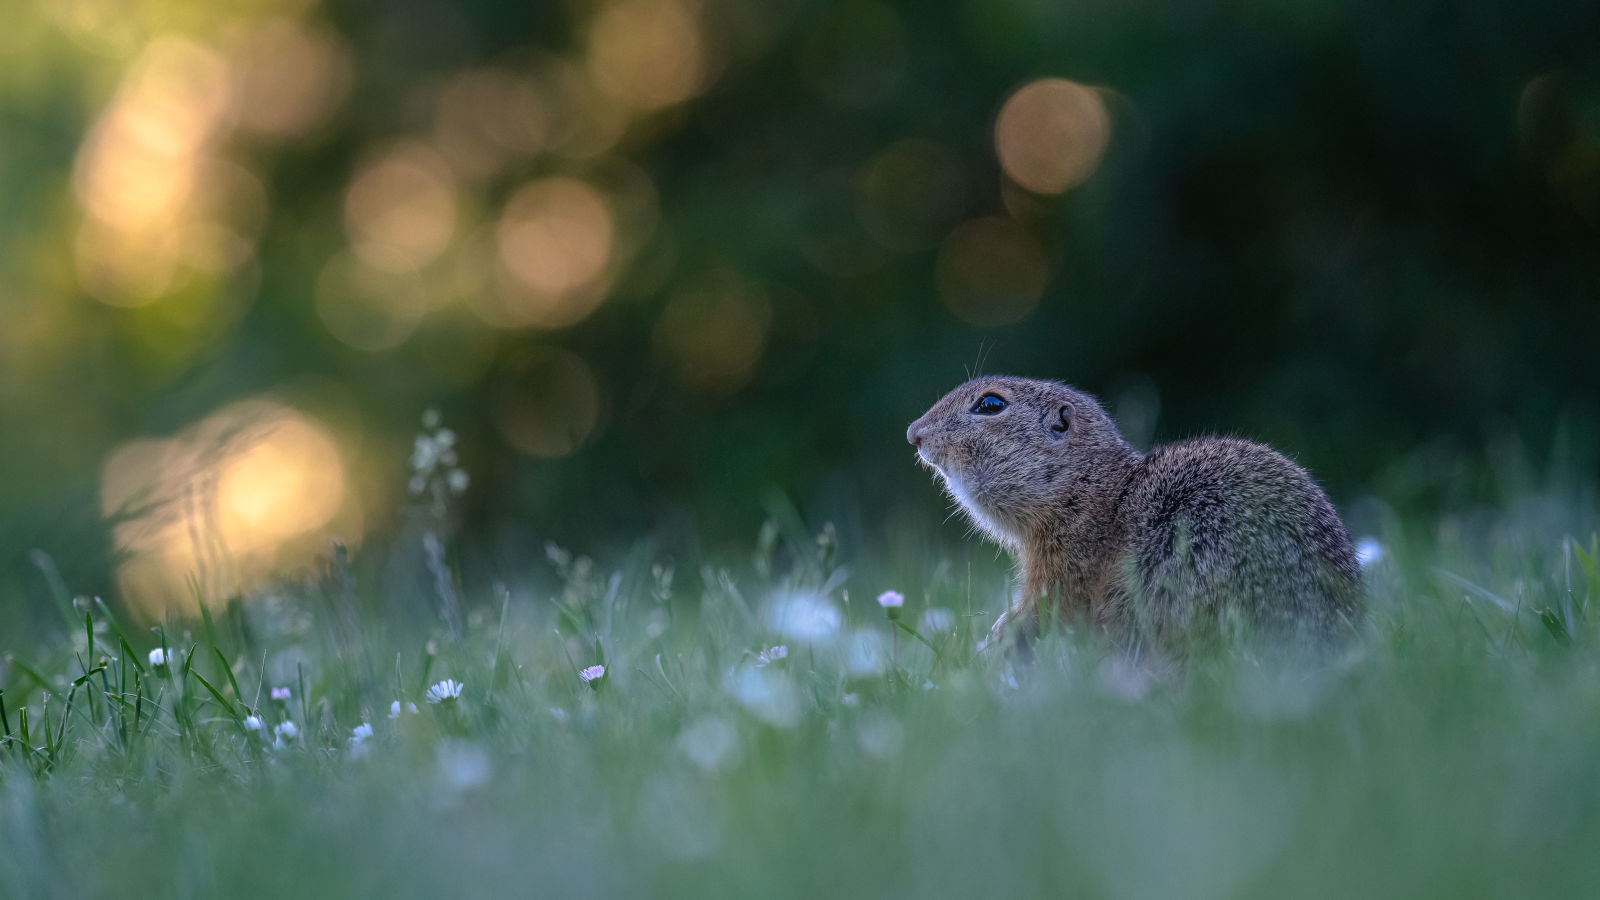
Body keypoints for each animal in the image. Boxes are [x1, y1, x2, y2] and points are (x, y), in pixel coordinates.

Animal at [915, 371, 1363, 650]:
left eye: (990, 404)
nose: (912, 433)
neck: (1092, 489)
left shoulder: (1065, 565)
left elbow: (1047, 606)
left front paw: (1000, 634)